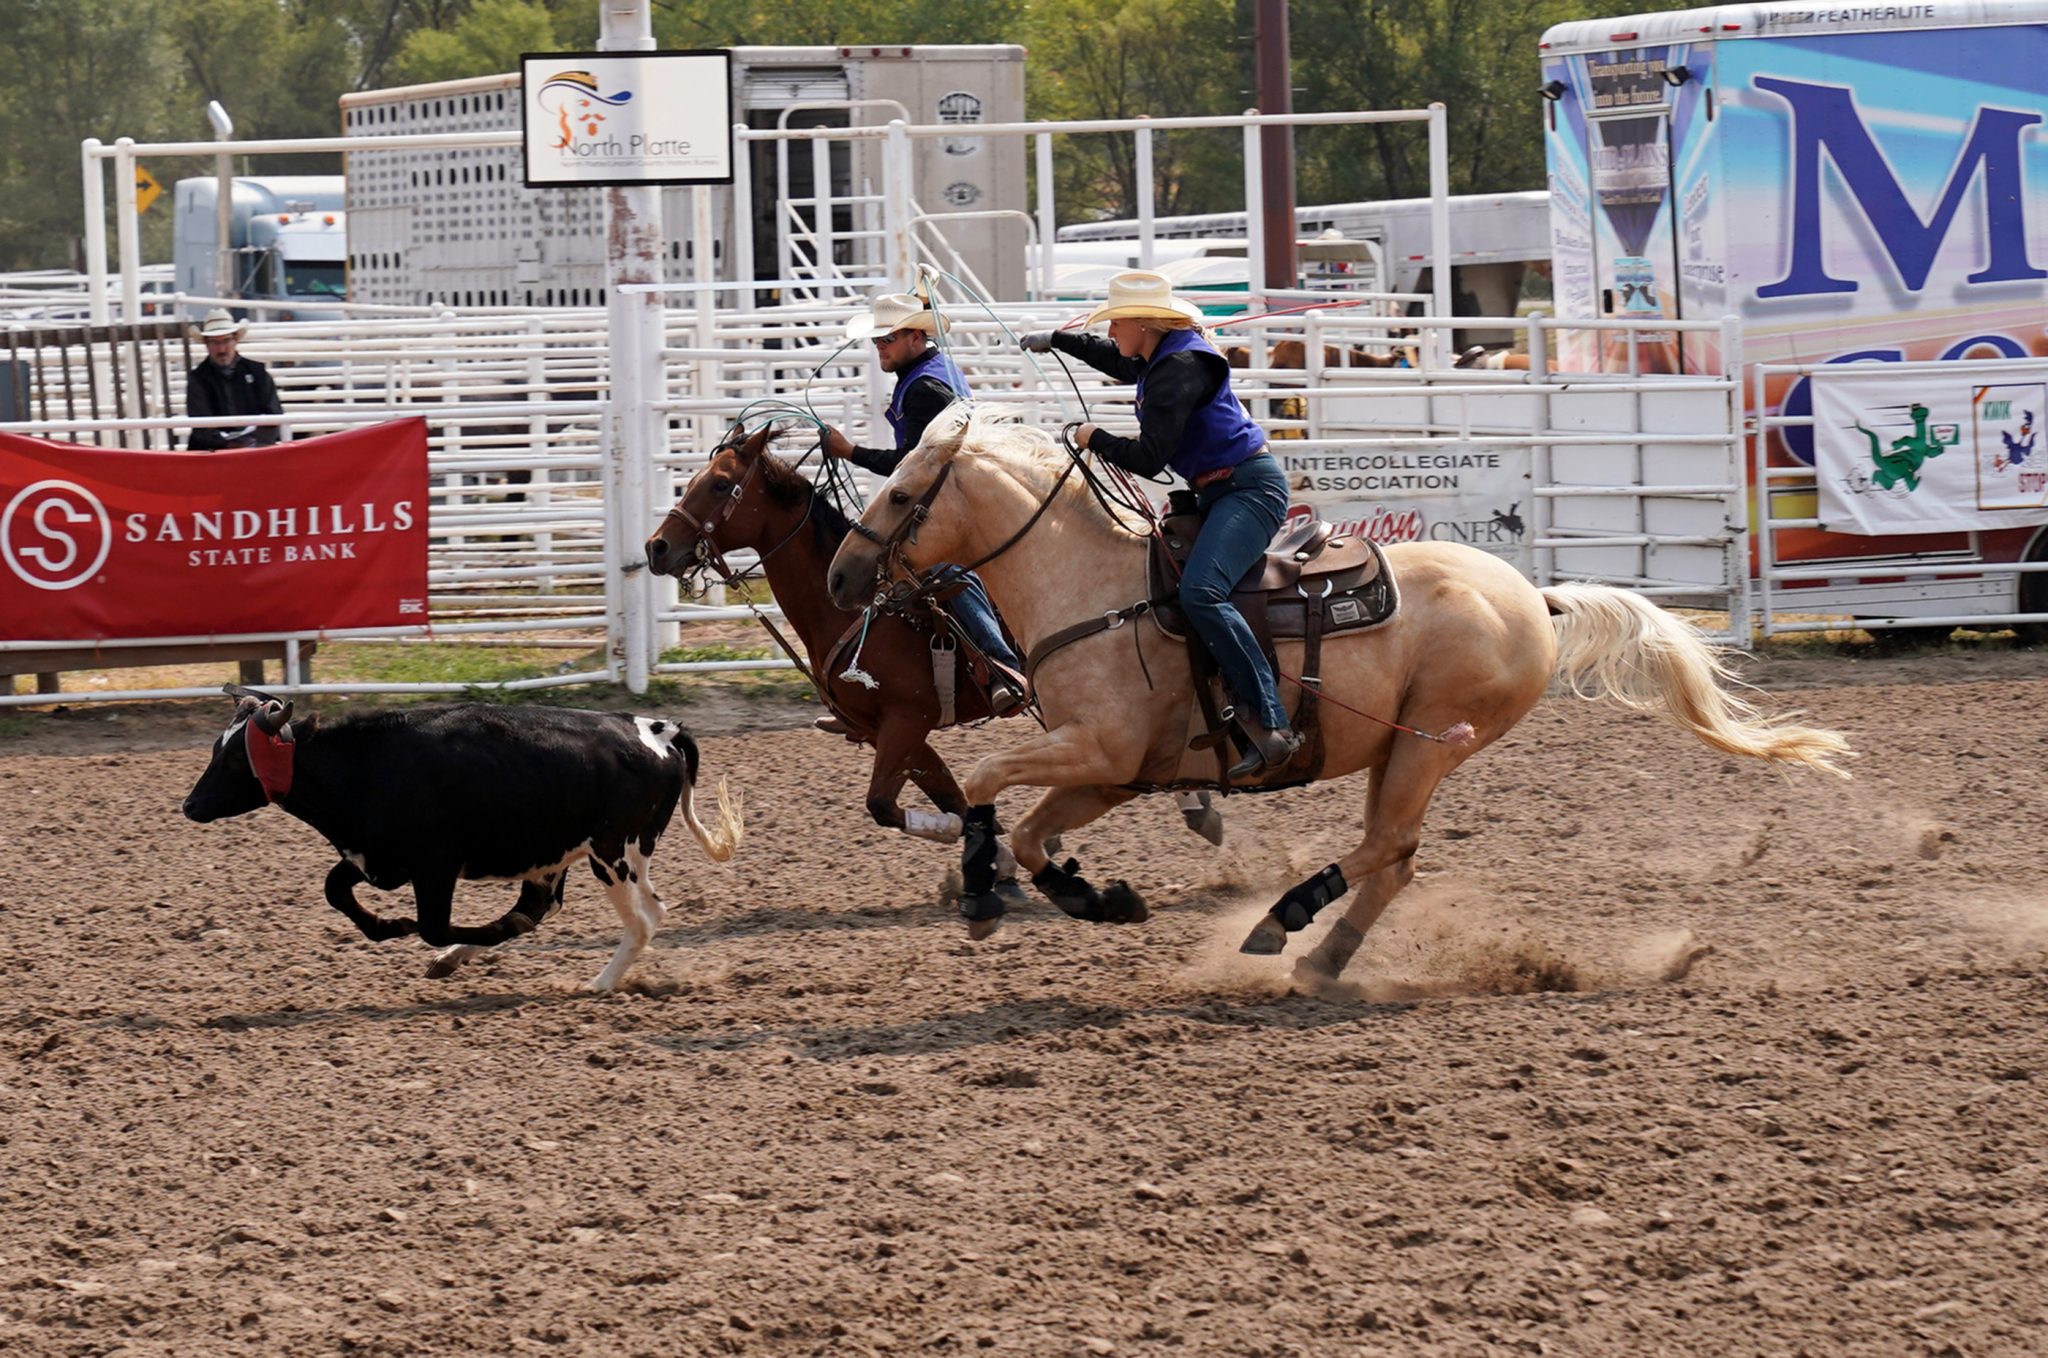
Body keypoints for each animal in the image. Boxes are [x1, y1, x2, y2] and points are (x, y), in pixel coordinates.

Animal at [819, 270, 1859, 983]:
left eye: (904, 491)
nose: (839, 575)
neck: (1093, 587)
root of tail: (1536, 598)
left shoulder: (1096, 748)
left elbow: (984, 784)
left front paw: (984, 892)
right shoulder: (1113, 771)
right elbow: (1034, 835)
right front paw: (1097, 898)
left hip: (1432, 741)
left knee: (1386, 850)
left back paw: (1287, 917)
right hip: (1402, 752)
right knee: (1395, 861)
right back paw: (1319, 955)